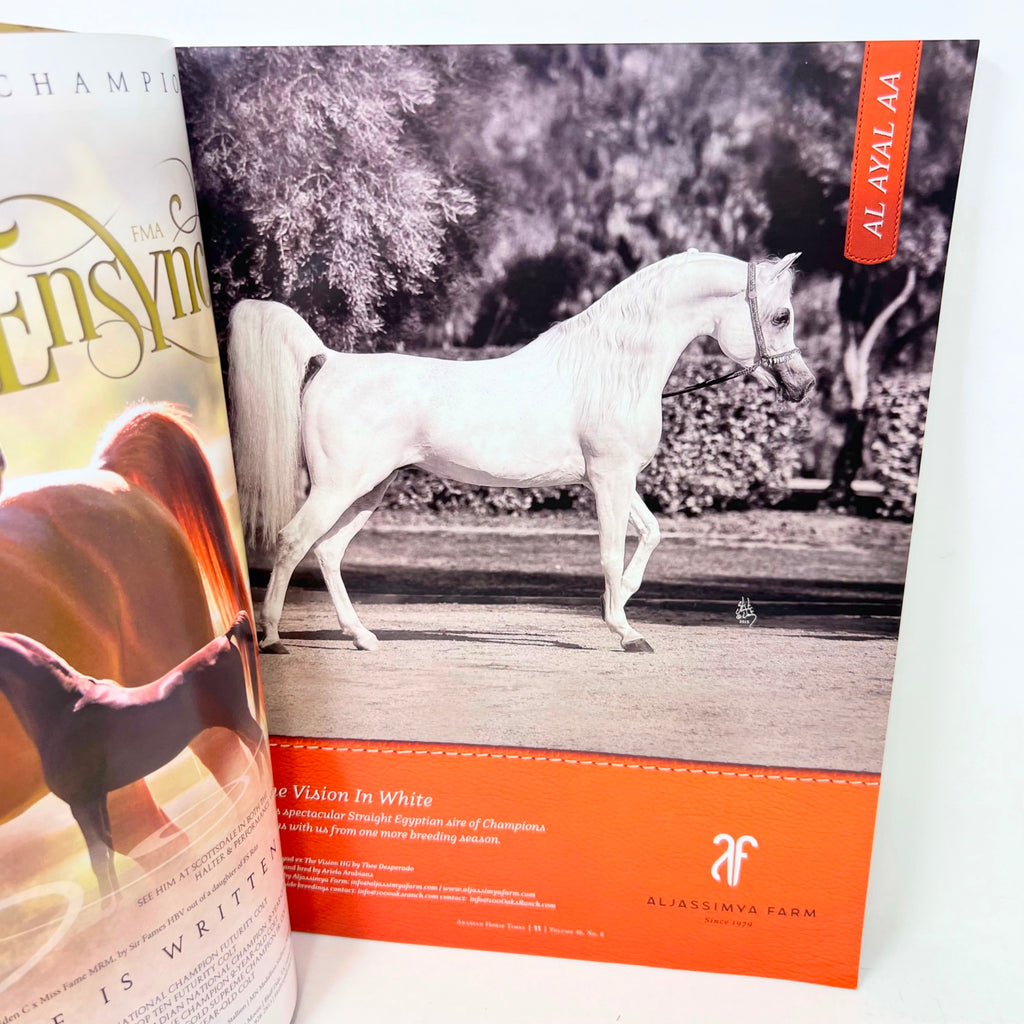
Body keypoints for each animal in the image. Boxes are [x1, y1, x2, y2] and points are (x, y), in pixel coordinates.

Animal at [0, 612, 263, 901]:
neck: (63, 705)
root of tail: (224, 640)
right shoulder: (98, 799)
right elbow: (108, 853)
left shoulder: (82, 804)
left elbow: (99, 862)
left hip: (237, 717)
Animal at [228, 250, 814, 655]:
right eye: (782, 316)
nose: (803, 385)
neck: (612, 367)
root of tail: (328, 359)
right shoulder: (609, 479)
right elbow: (610, 551)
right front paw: (625, 632)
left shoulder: (614, 478)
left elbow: (649, 534)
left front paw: (620, 603)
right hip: (339, 486)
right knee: (292, 541)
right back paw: (273, 639)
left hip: (369, 489)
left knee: (328, 551)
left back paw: (362, 637)